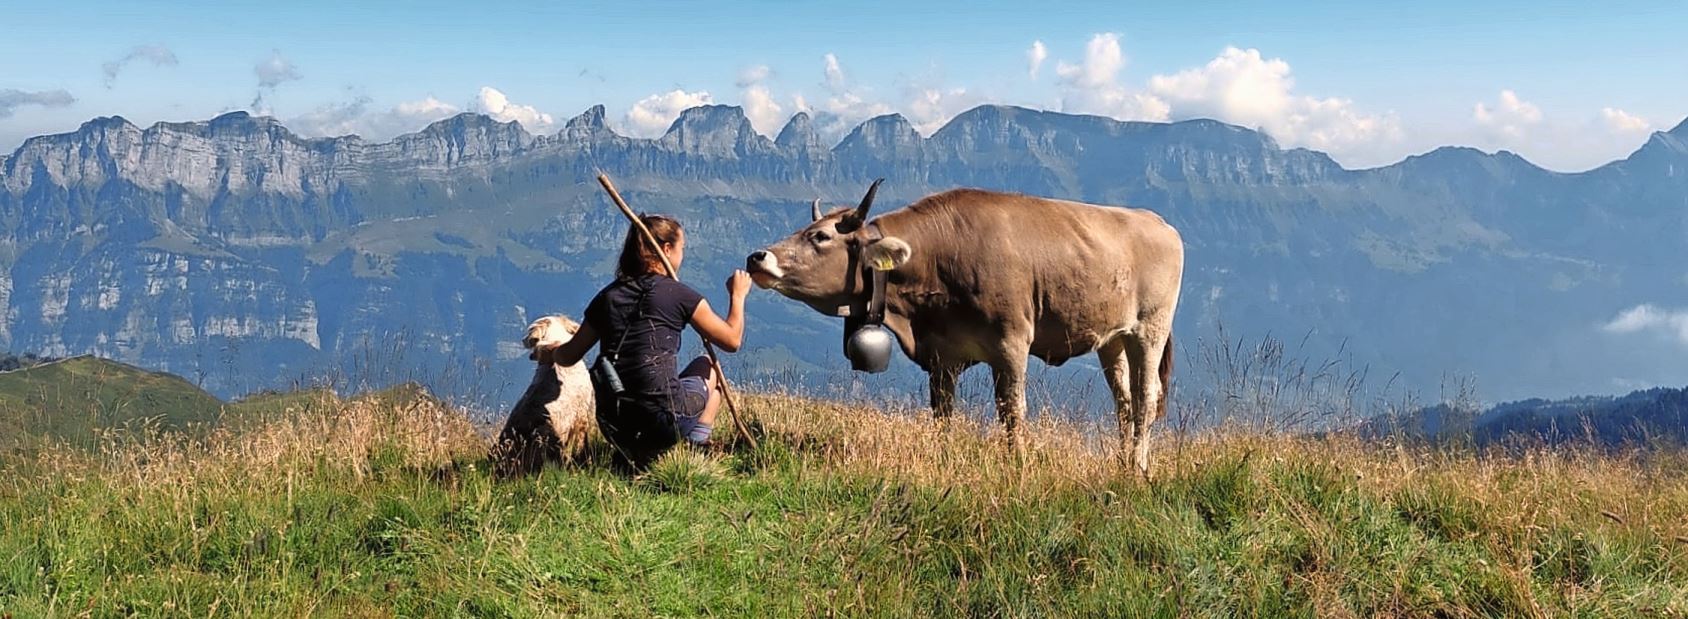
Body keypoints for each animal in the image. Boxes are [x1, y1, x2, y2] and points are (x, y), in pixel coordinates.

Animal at [746, 182, 1181, 472]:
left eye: (820, 236)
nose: (757, 257)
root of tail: (1157, 221)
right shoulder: (942, 354)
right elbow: (942, 411)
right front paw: (943, 455)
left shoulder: (1011, 341)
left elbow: (1011, 408)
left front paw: (1016, 461)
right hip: (1112, 339)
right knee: (1123, 400)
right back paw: (1123, 460)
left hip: (1150, 328)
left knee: (1145, 396)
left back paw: (1139, 466)